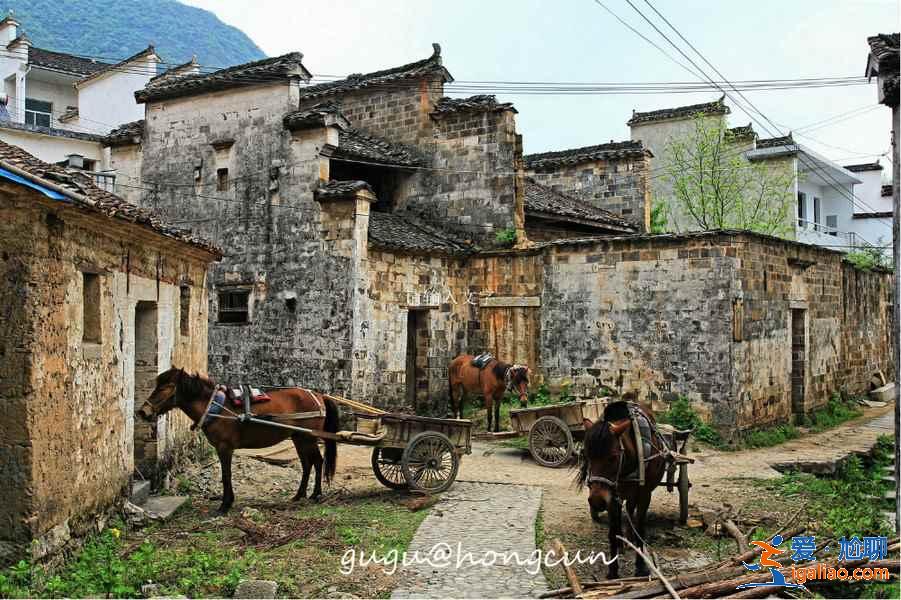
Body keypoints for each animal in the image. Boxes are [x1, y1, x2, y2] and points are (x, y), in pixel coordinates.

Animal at [139, 368, 340, 512]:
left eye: (164, 387)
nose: (143, 411)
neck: (216, 407)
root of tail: (319, 395)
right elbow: (226, 475)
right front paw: (228, 502)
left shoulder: (224, 448)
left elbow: (226, 475)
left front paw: (225, 505)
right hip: (298, 437)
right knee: (307, 465)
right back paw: (299, 495)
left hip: (308, 437)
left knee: (317, 461)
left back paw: (316, 494)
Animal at [576, 400, 668, 580]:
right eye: (586, 456)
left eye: (613, 457)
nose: (597, 501)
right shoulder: (611, 495)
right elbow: (612, 531)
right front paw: (613, 570)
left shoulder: (644, 495)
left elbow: (640, 528)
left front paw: (641, 567)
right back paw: (621, 542)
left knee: (631, 511)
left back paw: (629, 538)